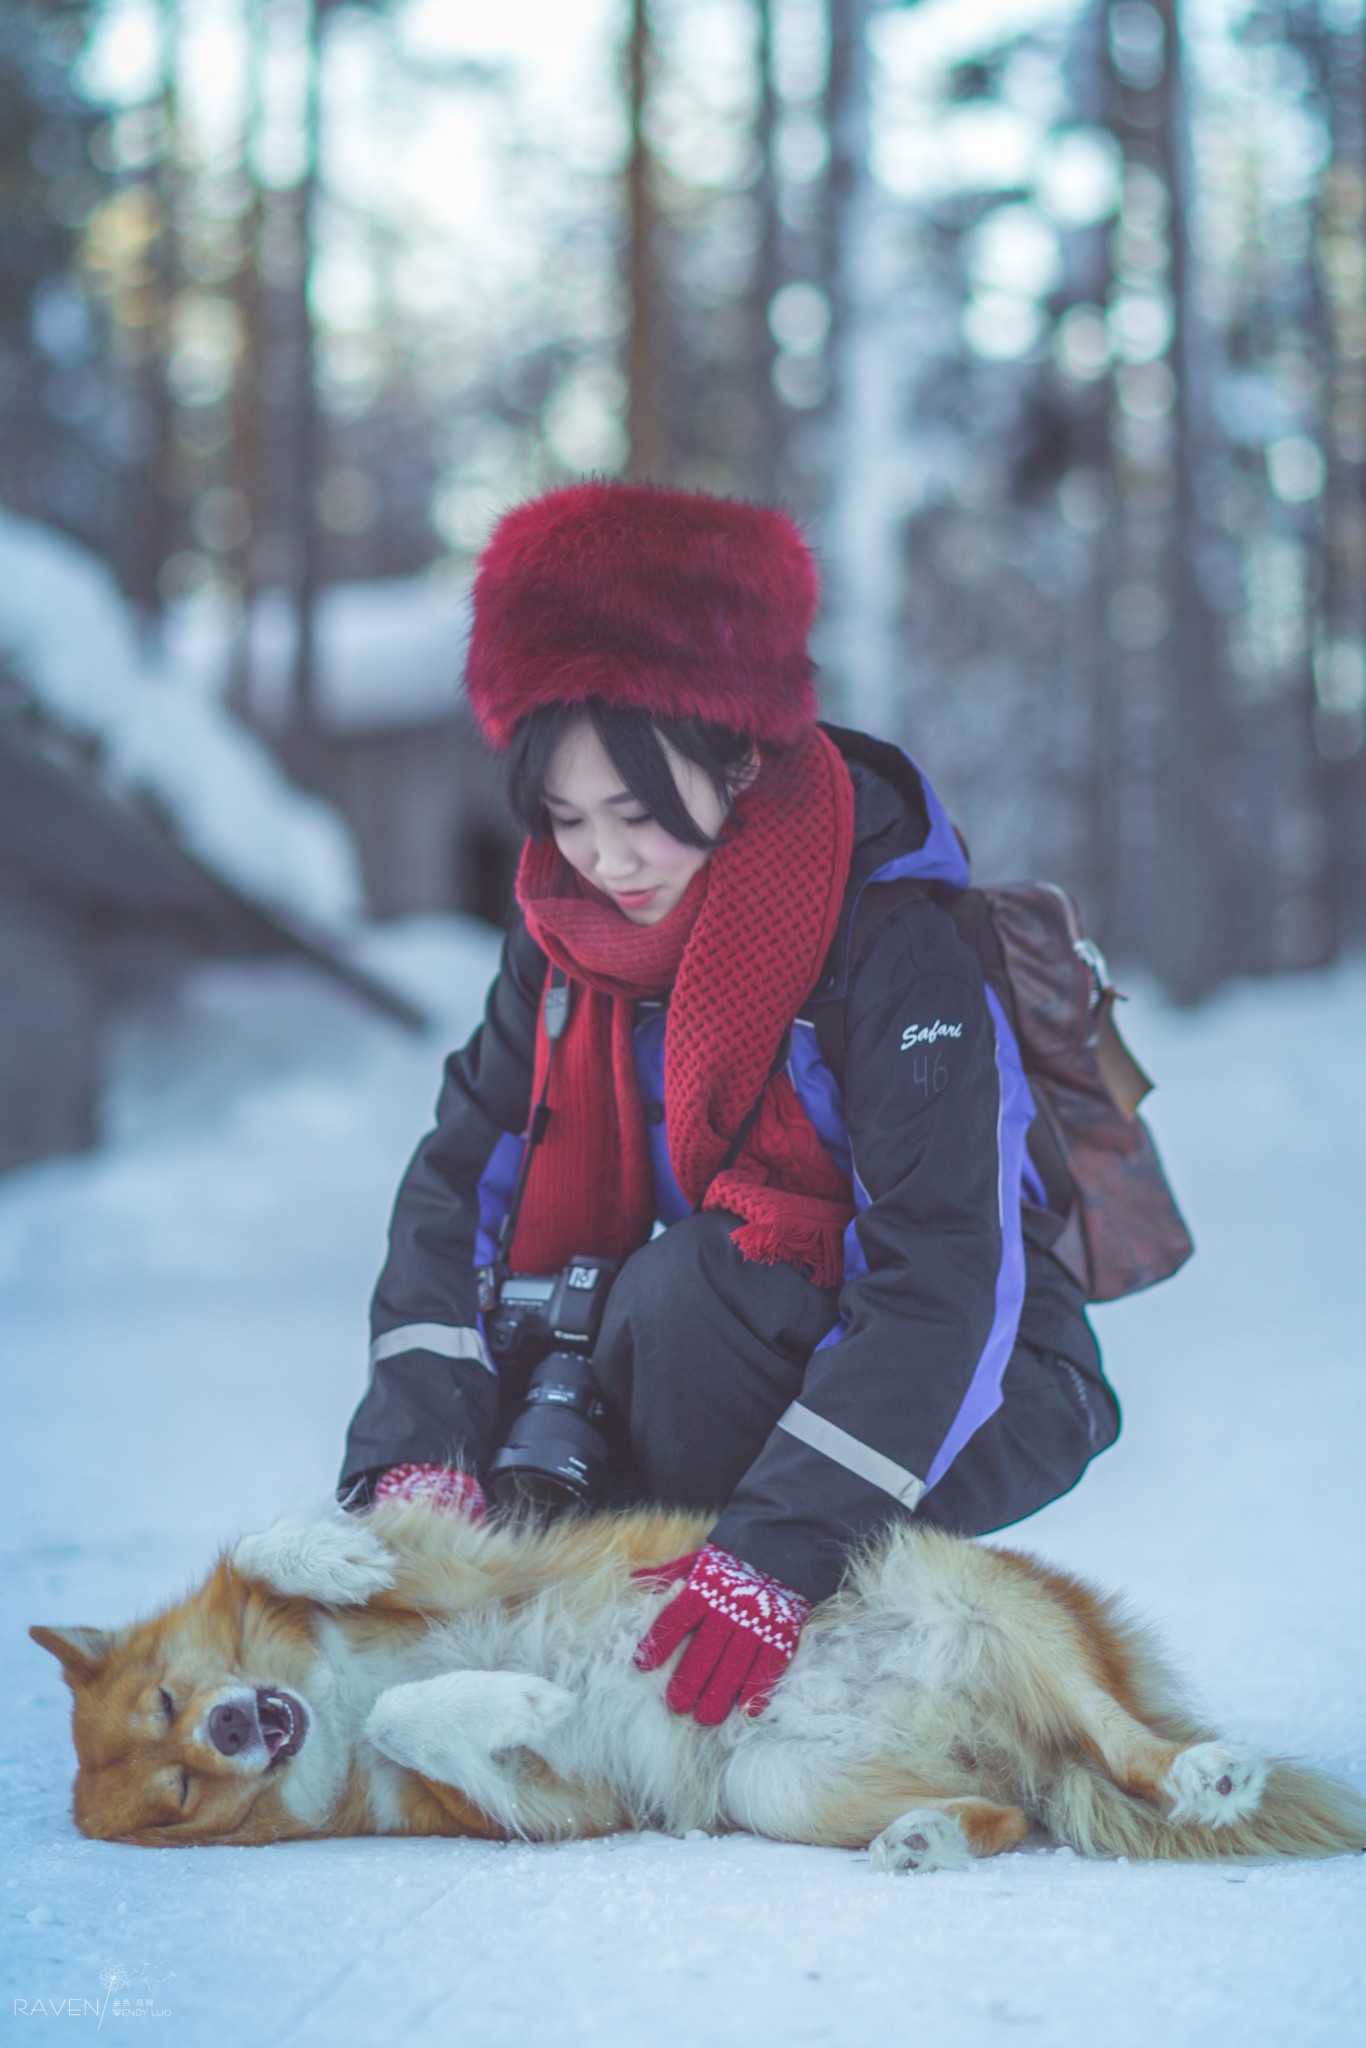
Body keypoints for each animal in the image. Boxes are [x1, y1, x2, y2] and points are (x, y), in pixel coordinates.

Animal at [29, 1507, 1366, 1875]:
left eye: (165, 1701)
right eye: (178, 1790)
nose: (236, 1722)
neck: (335, 1703)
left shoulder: (466, 1561)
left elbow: (283, 1545)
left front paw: (321, 1551)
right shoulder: (549, 1802)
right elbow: (441, 1724)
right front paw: (514, 1699)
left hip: (976, 1597)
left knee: (1123, 1743)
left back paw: (1202, 1771)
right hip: (775, 1782)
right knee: (1014, 1811)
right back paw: (929, 1834)